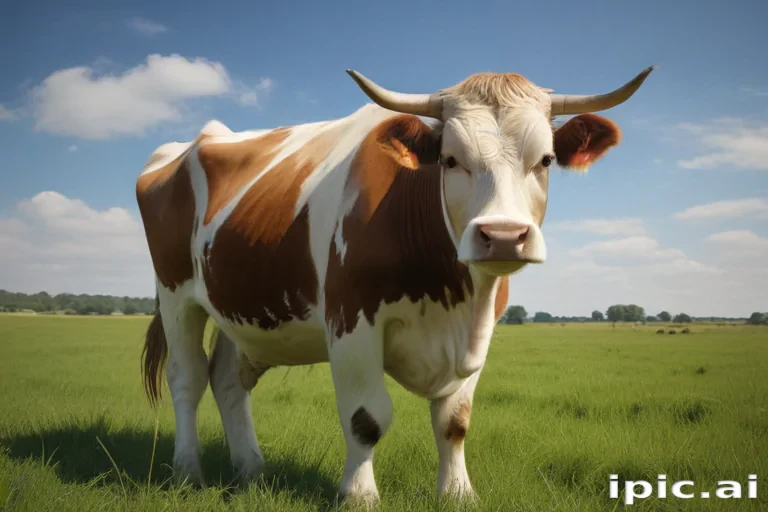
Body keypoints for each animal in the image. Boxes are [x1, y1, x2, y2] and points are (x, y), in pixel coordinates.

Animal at [136, 66, 654, 505]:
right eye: (449, 160)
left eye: (545, 159)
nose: (504, 235)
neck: (452, 300)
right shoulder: (351, 321)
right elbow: (366, 418)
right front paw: (359, 495)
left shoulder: (481, 331)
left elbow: (454, 422)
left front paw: (458, 494)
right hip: (177, 295)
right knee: (187, 378)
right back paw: (188, 472)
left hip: (245, 308)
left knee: (228, 380)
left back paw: (251, 471)